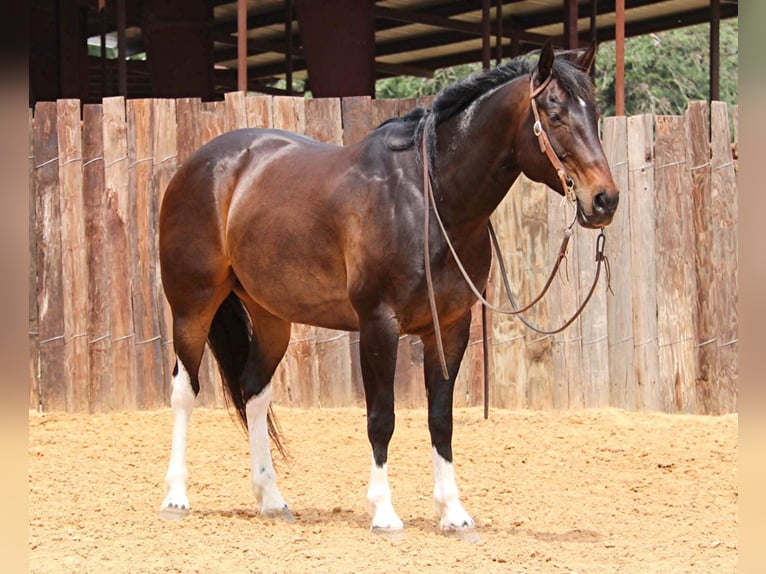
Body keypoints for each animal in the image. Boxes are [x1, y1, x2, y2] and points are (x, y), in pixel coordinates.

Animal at [159, 42, 620, 536]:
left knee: (254, 391)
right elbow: (381, 418)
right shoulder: (378, 324)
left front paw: (452, 512)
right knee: (185, 392)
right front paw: (383, 511)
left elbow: (441, 418)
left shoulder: (450, 327)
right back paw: (176, 497)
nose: (605, 200)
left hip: (270, 317)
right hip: (192, 308)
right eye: (554, 115)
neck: (429, 198)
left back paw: (271, 499)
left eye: (595, 114)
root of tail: (202, 164)